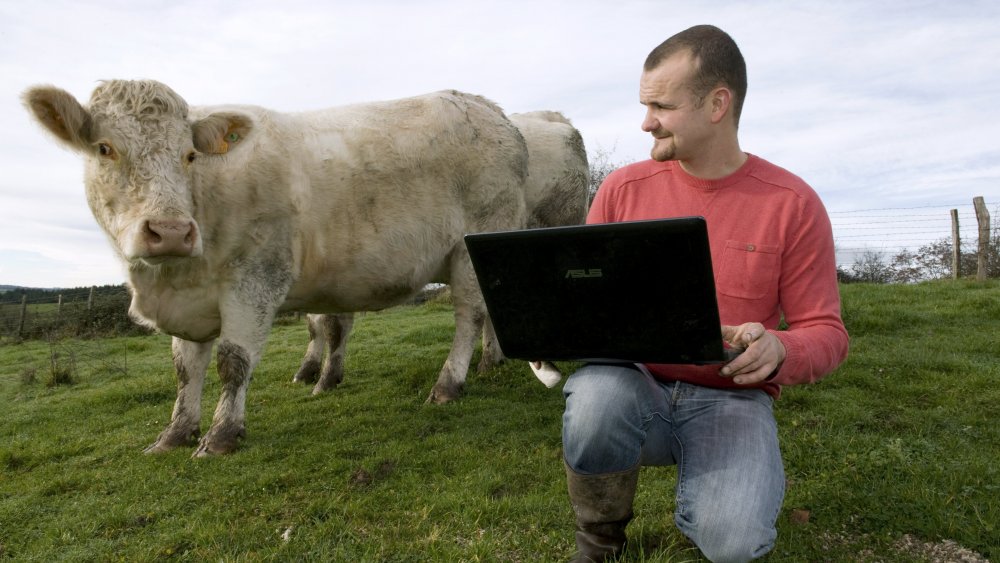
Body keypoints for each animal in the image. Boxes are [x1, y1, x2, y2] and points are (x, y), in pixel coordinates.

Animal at [23, 80, 529, 457]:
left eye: (189, 155)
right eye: (104, 148)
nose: (170, 231)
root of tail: (491, 110)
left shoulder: (256, 278)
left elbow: (233, 361)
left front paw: (221, 435)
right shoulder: (189, 299)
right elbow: (185, 369)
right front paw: (175, 434)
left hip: (473, 244)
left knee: (469, 315)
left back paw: (450, 383)